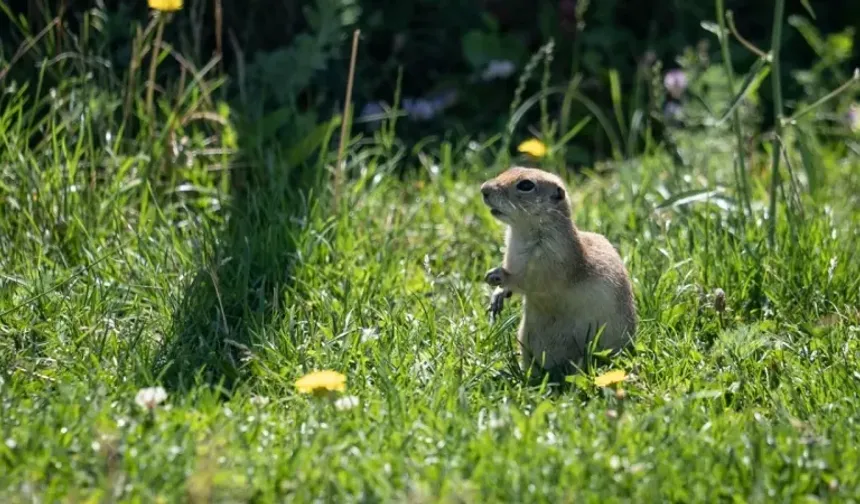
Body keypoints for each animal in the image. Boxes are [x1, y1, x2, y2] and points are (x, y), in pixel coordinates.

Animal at [480, 165, 636, 382]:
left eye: (526, 185)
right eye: (510, 169)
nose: (484, 189)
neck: (522, 232)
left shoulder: (551, 260)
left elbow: (529, 281)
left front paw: (497, 276)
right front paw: (497, 296)